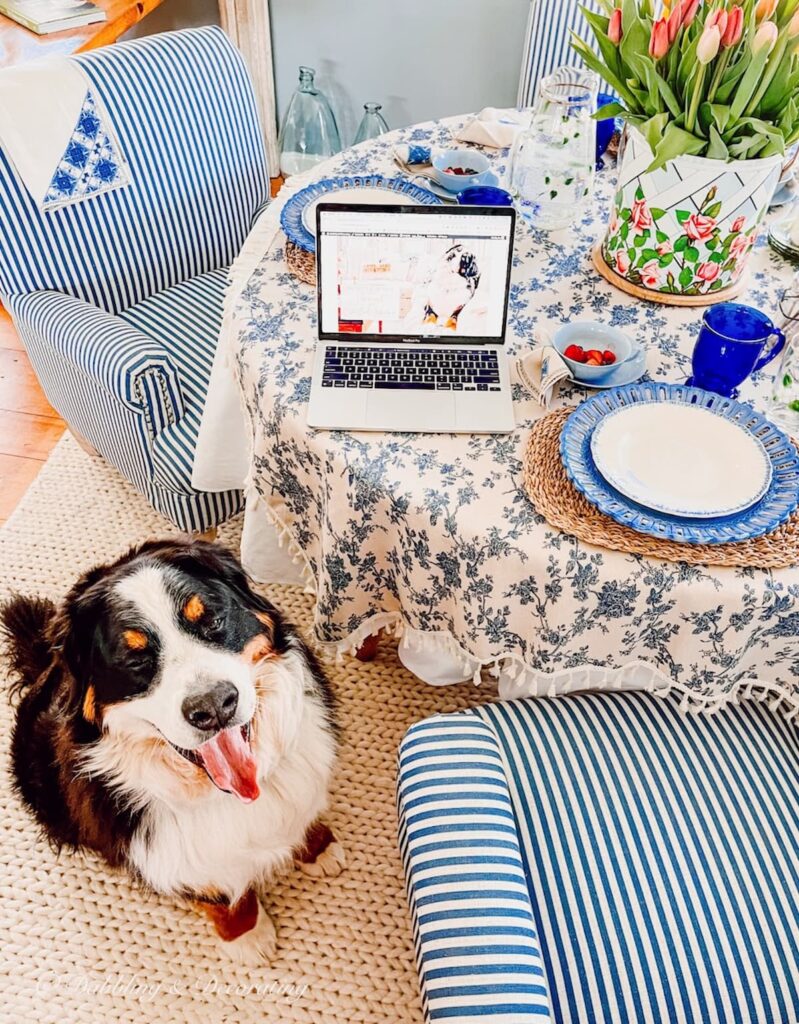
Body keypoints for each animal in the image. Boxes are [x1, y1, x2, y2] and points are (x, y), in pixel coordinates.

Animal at [0, 540, 344, 962]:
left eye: (213, 621)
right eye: (135, 659)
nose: (214, 706)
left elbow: (303, 817)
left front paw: (319, 848)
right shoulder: (169, 857)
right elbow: (215, 895)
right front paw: (247, 935)